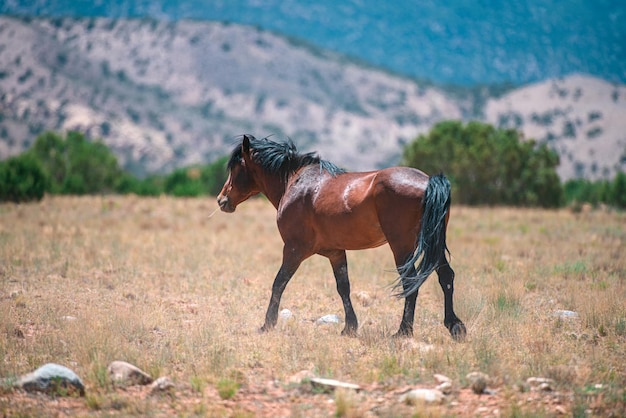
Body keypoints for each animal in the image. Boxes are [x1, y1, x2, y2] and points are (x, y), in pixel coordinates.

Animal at [214, 136, 464, 342]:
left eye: (236, 167)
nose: (221, 199)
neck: (296, 182)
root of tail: (429, 181)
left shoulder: (294, 250)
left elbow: (279, 283)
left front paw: (267, 324)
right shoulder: (335, 252)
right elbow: (343, 287)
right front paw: (349, 327)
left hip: (402, 247)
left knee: (411, 282)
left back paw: (403, 331)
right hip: (434, 244)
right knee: (446, 277)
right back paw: (455, 327)